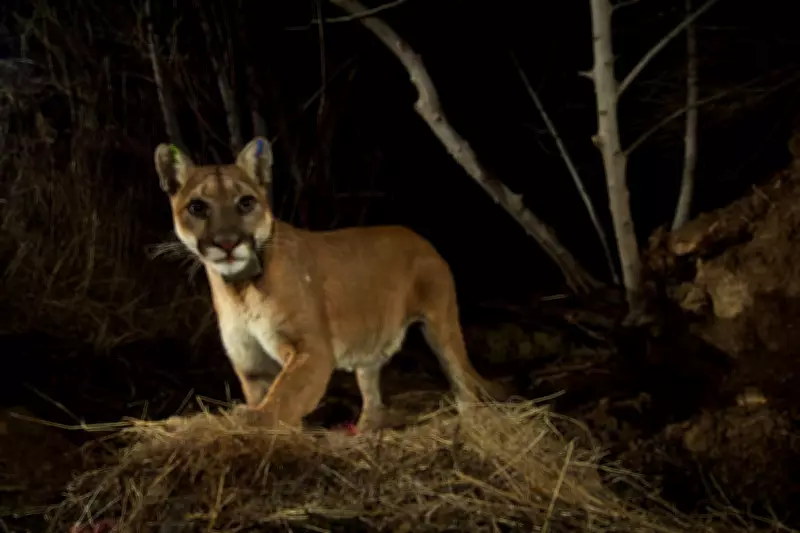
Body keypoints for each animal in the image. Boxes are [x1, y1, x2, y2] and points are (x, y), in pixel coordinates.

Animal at [153, 136, 507, 431]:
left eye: (245, 203)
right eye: (198, 207)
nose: (227, 243)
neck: (240, 289)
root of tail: (420, 238)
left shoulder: (311, 348)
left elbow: (283, 398)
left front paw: (251, 422)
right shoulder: (251, 364)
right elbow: (276, 399)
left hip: (440, 326)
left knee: (462, 379)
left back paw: (470, 425)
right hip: (371, 345)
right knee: (373, 395)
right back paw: (364, 433)